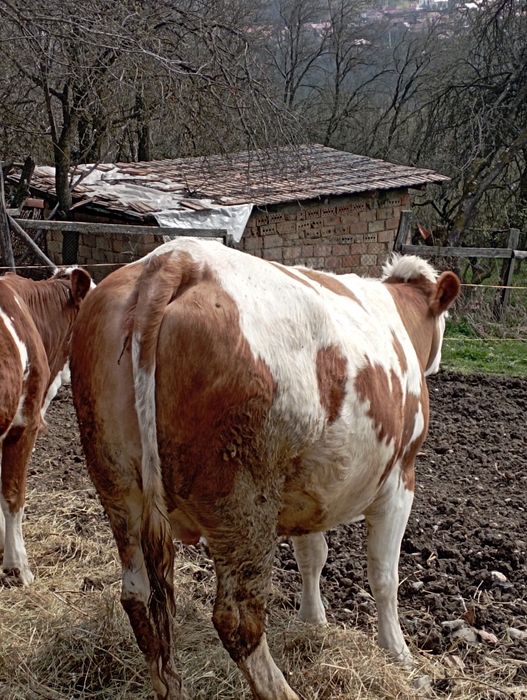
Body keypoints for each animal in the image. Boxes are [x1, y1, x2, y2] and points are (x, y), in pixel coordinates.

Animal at [70, 238, 459, 700]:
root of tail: (176, 258)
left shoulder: (313, 485)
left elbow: (313, 556)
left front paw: (313, 622)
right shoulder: (400, 480)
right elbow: (383, 575)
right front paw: (397, 651)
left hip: (116, 485)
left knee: (136, 595)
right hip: (244, 503)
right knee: (238, 620)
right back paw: (283, 690)